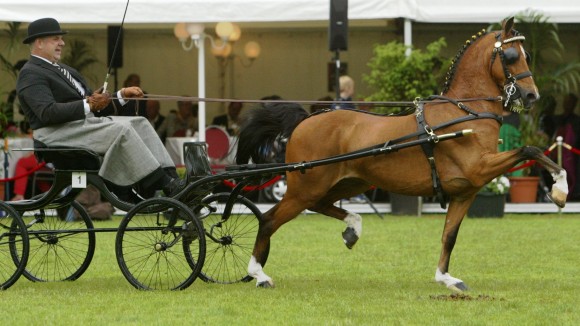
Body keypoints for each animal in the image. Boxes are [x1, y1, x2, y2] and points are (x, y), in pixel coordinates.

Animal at [234, 17, 568, 292]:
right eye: (512, 55)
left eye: (526, 54)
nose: (532, 95)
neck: (464, 112)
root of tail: (305, 120)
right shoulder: (480, 168)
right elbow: (529, 149)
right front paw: (560, 191)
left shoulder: (465, 191)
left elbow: (449, 235)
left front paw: (446, 278)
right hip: (305, 187)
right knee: (268, 220)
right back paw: (258, 274)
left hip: (346, 183)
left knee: (318, 206)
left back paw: (352, 227)